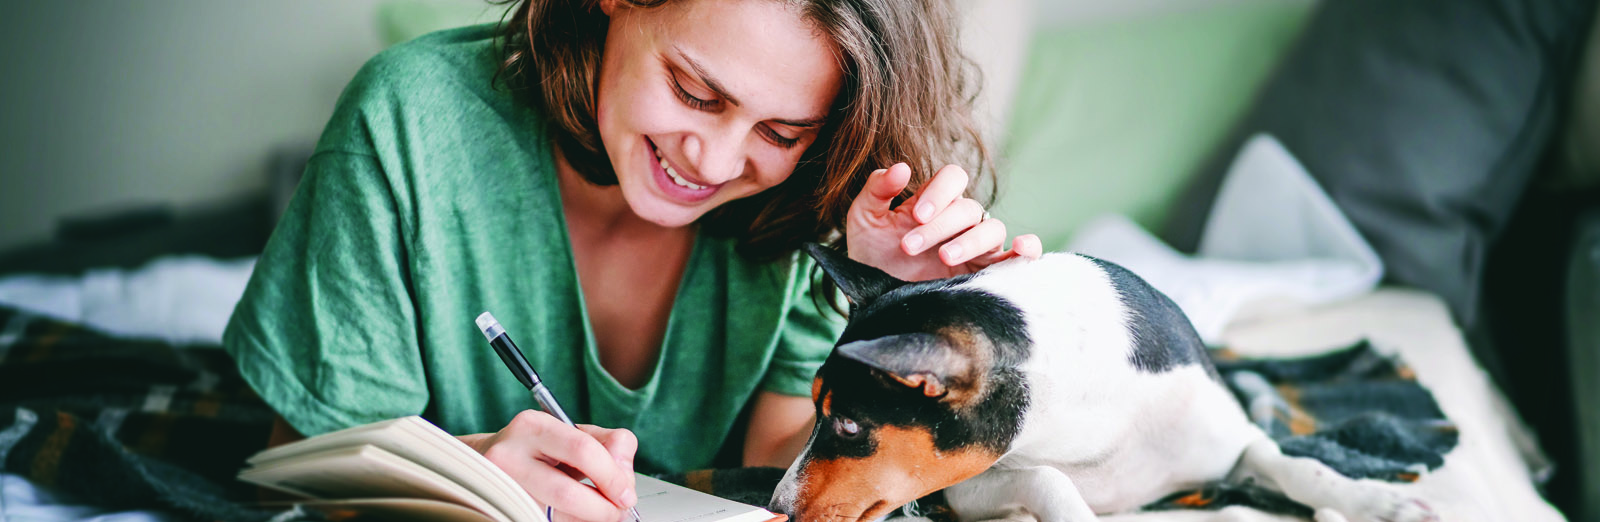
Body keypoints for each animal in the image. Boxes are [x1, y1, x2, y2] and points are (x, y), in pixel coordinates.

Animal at [768, 244, 1446, 522]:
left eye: (848, 425)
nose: (776, 507)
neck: (1092, 426)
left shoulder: (1233, 444)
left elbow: (1297, 467)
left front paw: (1376, 502)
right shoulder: (965, 485)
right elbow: (1048, 480)